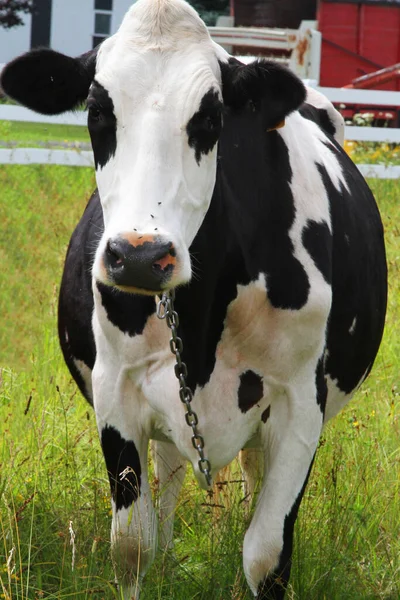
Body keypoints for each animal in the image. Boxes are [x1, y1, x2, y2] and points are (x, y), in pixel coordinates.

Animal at [0, 0, 388, 596]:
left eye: (210, 118)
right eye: (97, 112)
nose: (139, 256)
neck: (202, 311)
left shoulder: (301, 401)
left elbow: (266, 554)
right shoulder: (116, 389)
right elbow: (132, 544)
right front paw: (152, 558)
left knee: (249, 478)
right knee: (171, 474)